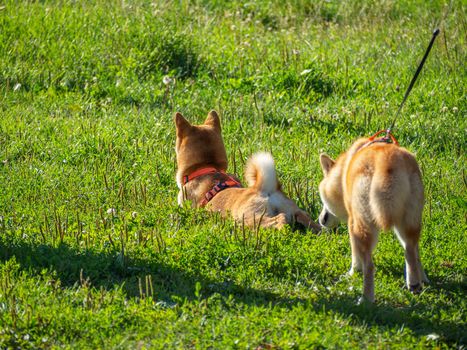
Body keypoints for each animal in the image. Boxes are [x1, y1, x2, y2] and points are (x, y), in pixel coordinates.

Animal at [175, 110, 322, 232]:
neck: (208, 167)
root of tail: (264, 189)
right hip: (294, 210)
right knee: (306, 218)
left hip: (250, 218)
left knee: (280, 219)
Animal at [318, 133, 428, 302]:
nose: (321, 220)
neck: (344, 172)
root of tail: (386, 162)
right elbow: (418, 256)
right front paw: (424, 279)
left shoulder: (352, 222)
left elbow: (355, 257)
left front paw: (352, 273)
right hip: (410, 221)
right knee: (410, 251)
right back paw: (415, 284)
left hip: (363, 225)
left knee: (370, 266)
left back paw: (366, 299)